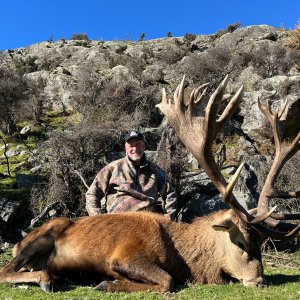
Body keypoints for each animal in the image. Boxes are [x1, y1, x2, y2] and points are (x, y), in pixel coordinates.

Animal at [0, 76, 298, 292]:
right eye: (240, 241)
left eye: (261, 241)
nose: (259, 281)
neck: (180, 257)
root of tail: (18, 243)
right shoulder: (125, 254)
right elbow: (167, 281)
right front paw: (107, 283)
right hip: (41, 236)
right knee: (6, 270)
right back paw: (46, 279)